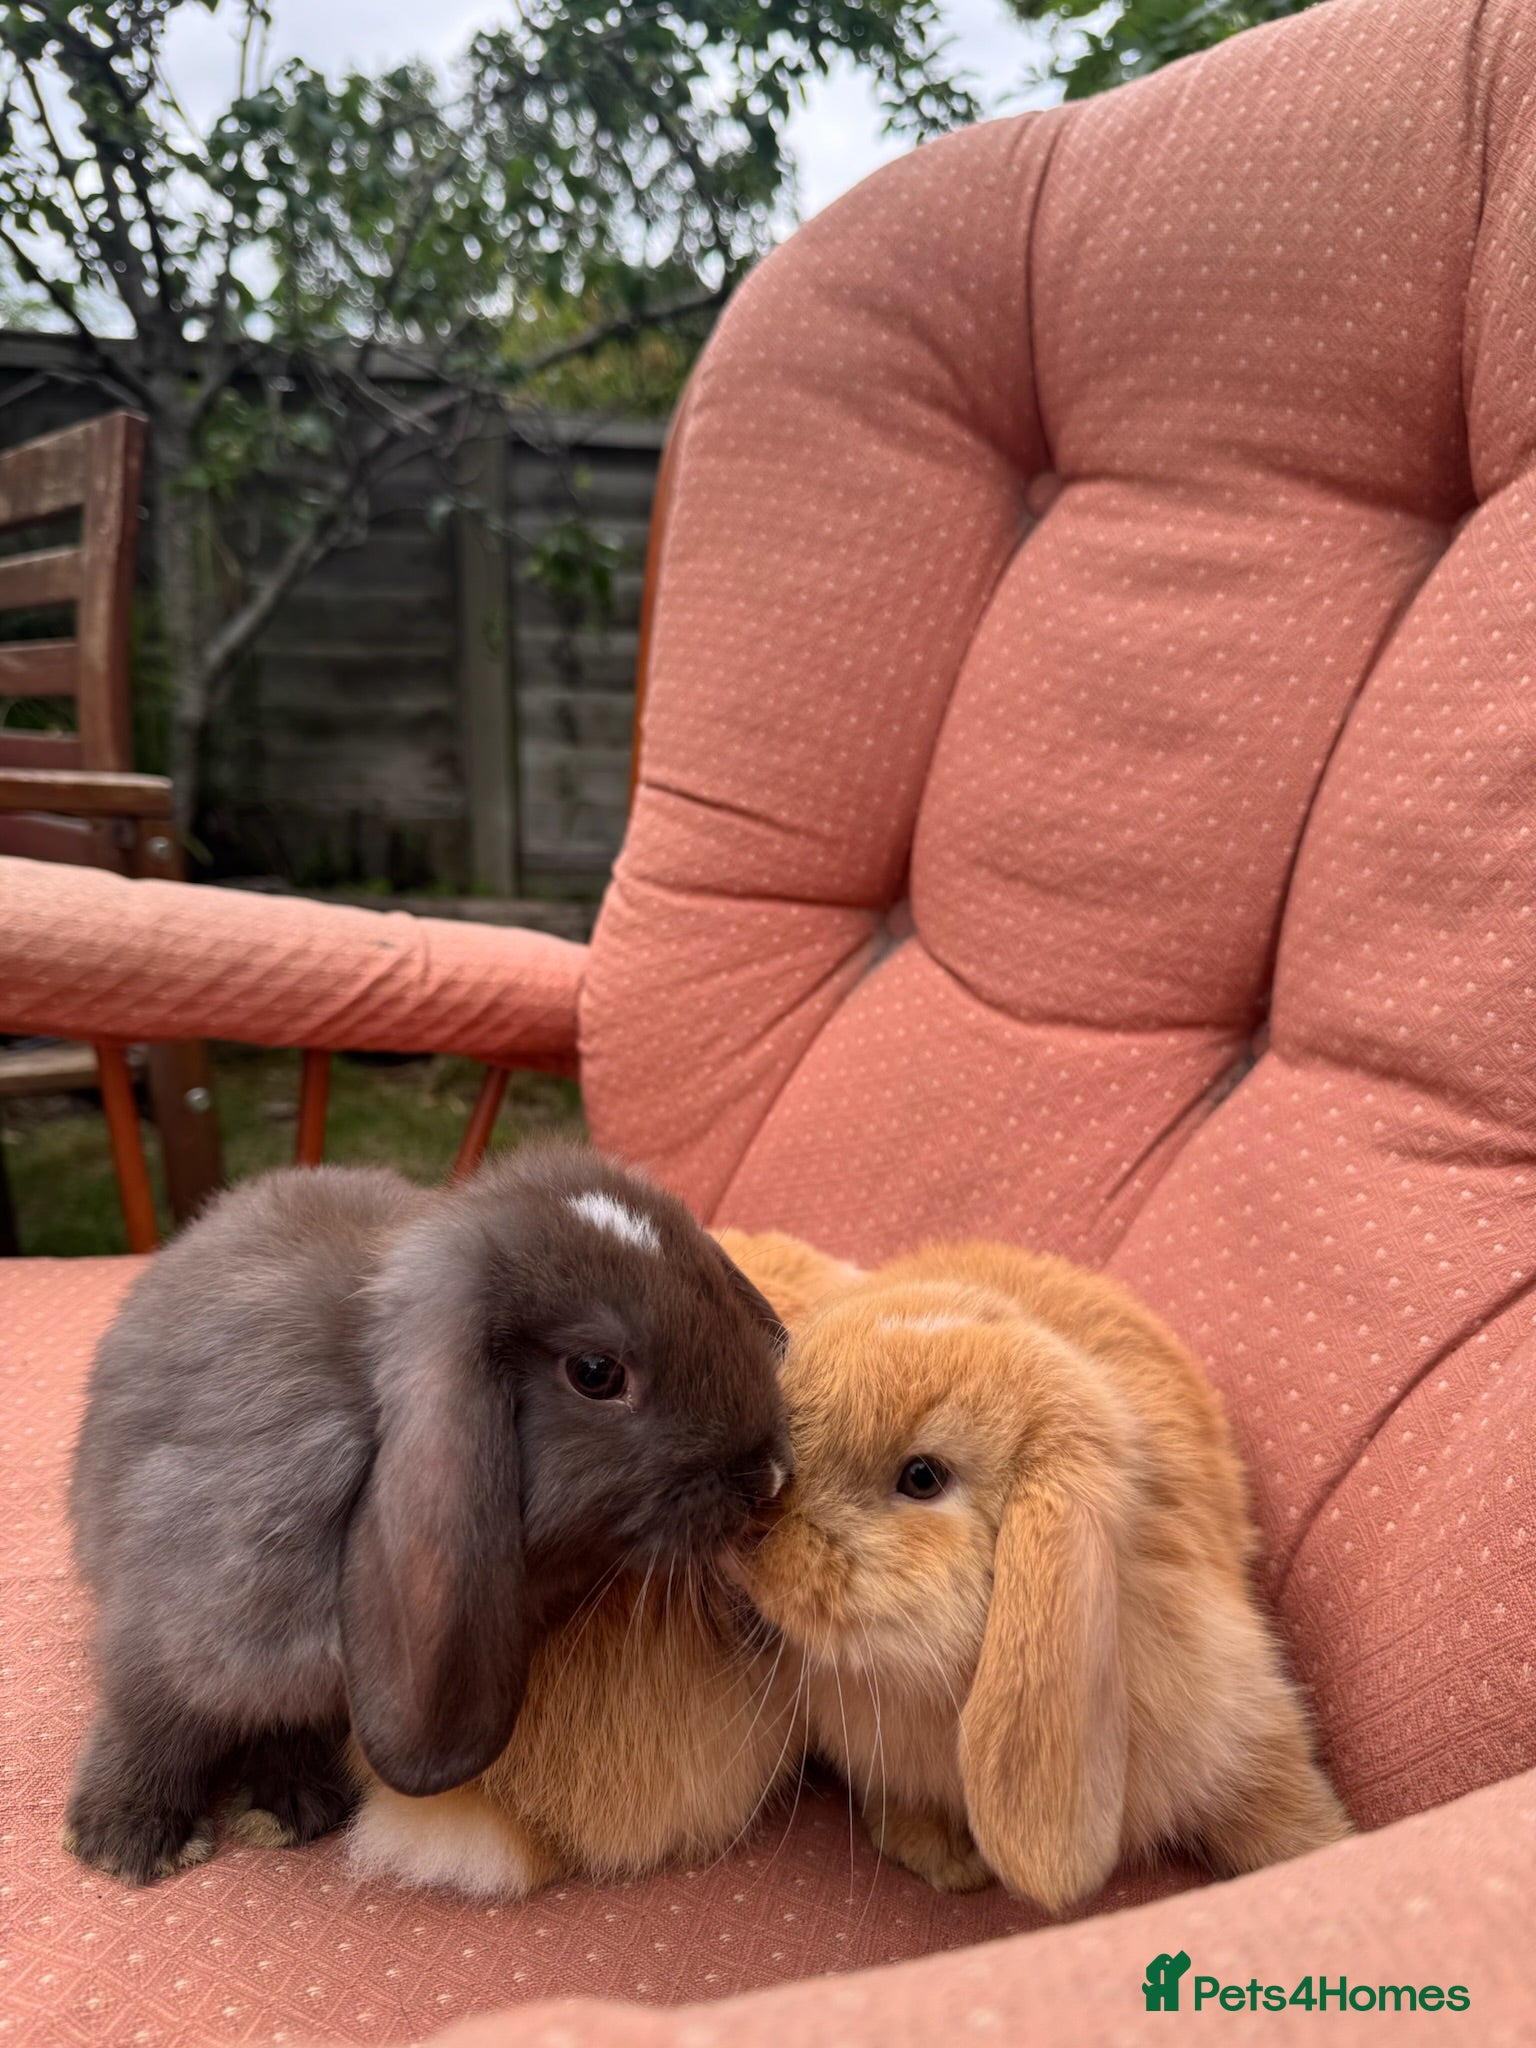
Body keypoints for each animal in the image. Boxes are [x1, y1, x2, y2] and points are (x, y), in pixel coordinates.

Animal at [64, 1142, 791, 1887]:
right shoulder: (171, 1623)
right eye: (595, 1373)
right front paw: (127, 1841)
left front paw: (283, 1804)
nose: (768, 1478)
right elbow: (153, 1721)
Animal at [731, 1237, 1352, 1913]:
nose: (752, 1520)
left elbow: (1285, 1817)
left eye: (922, 1477)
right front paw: (943, 1858)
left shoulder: (1243, 1736)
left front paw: (1330, 1848)